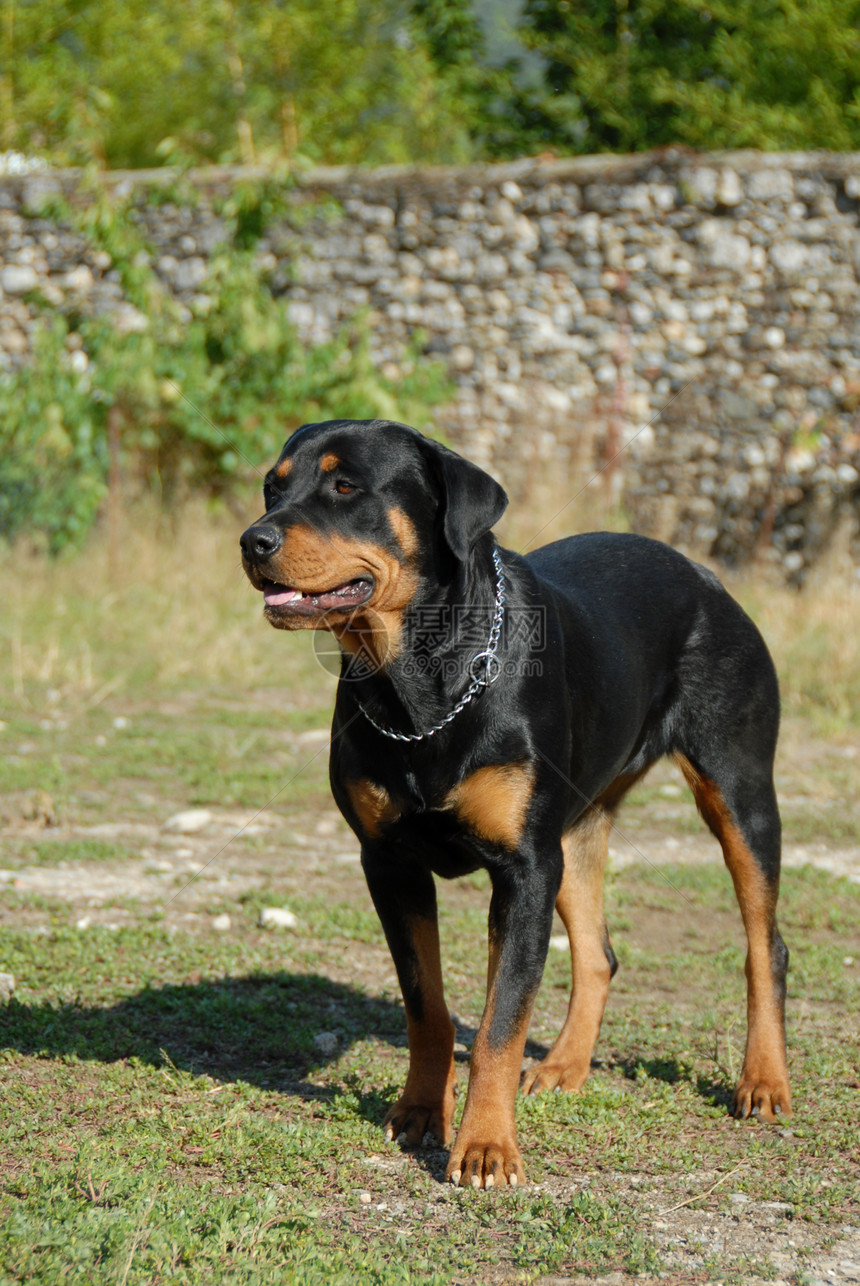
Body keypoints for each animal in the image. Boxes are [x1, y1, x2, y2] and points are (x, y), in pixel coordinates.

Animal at [237, 416, 786, 1188]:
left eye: (346, 486)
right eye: (272, 487)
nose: (252, 540)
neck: (420, 682)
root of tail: (707, 577)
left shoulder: (524, 868)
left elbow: (501, 1022)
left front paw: (486, 1147)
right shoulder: (390, 863)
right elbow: (427, 1004)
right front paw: (419, 1111)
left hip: (738, 792)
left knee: (766, 947)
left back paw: (763, 1081)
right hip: (577, 829)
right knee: (598, 954)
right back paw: (564, 1067)